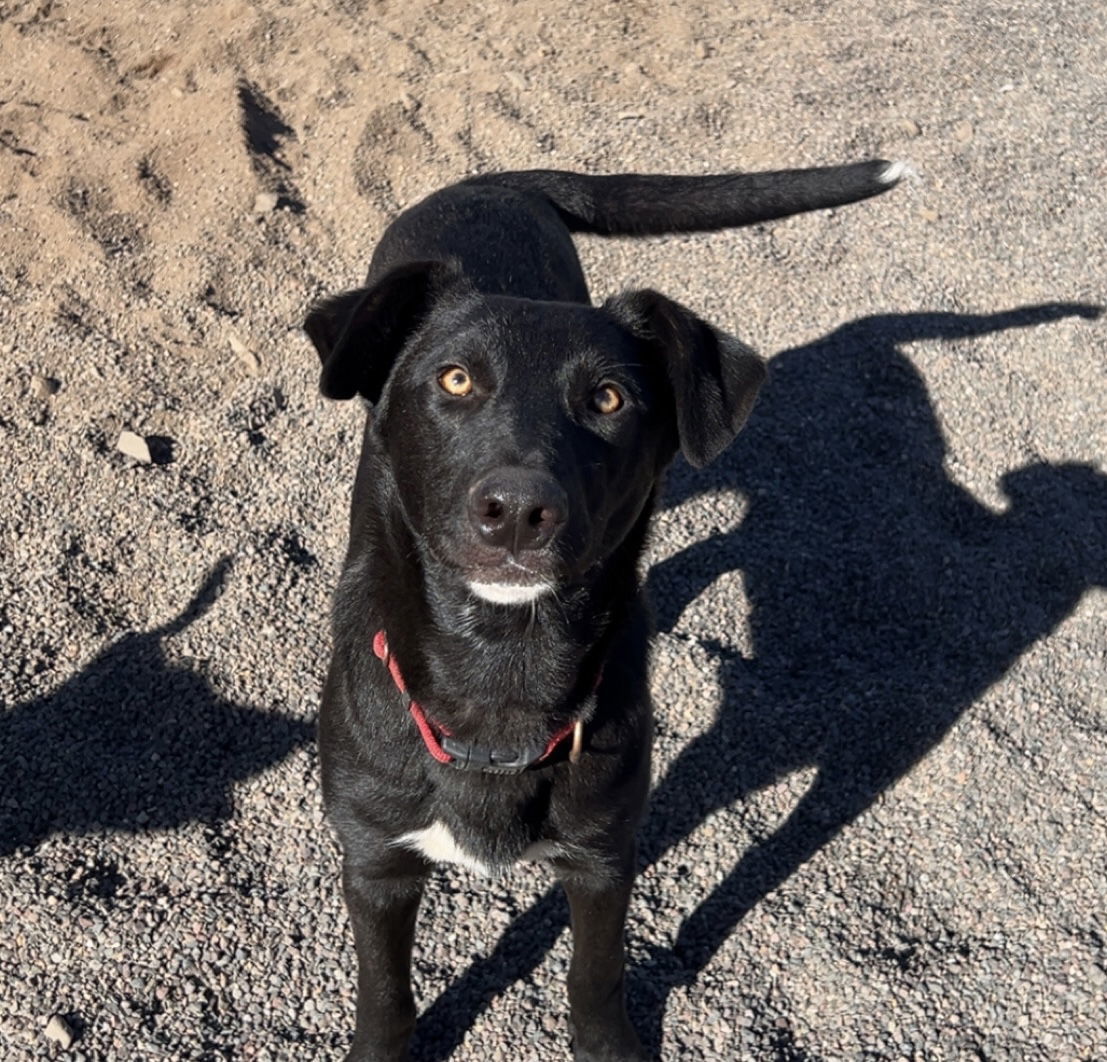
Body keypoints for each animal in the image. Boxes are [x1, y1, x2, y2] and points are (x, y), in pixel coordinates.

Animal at [303, 161, 898, 1058]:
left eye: (609, 399)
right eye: (454, 380)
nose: (517, 510)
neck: (500, 664)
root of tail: (495, 180)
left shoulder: (603, 854)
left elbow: (594, 974)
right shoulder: (376, 860)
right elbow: (385, 997)